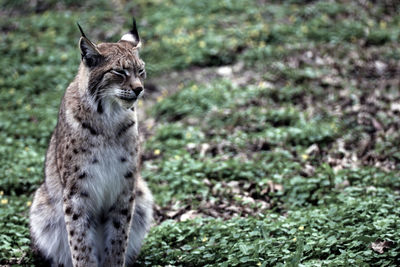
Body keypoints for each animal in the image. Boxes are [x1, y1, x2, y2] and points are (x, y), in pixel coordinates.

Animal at [29, 18, 153, 267]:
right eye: (119, 71)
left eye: (141, 70)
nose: (139, 89)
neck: (109, 116)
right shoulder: (76, 190)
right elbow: (80, 242)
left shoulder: (125, 185)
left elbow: (118, 239)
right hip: (41, 204)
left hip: (142, 193)